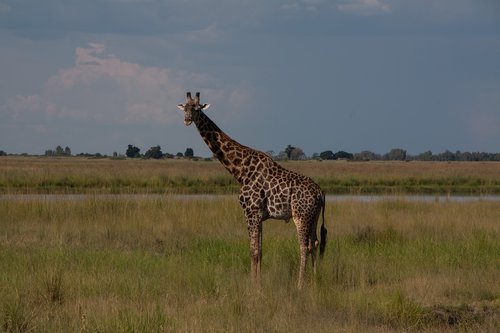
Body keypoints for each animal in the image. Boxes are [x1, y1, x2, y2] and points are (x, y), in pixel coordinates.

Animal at [177, 91, 328, 288]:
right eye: (185, 108)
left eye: (197, 109)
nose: (187, 120)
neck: (240, 169)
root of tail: (320, 193)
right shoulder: (260, 216)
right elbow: (260, 251)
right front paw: (258, 282)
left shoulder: (251, 212)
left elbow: (253, 251)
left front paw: (253, 286)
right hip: (313, 216)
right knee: (315, 243)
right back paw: (315, 280)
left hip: (300, 216)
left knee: (304, 246)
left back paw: (300, 285)